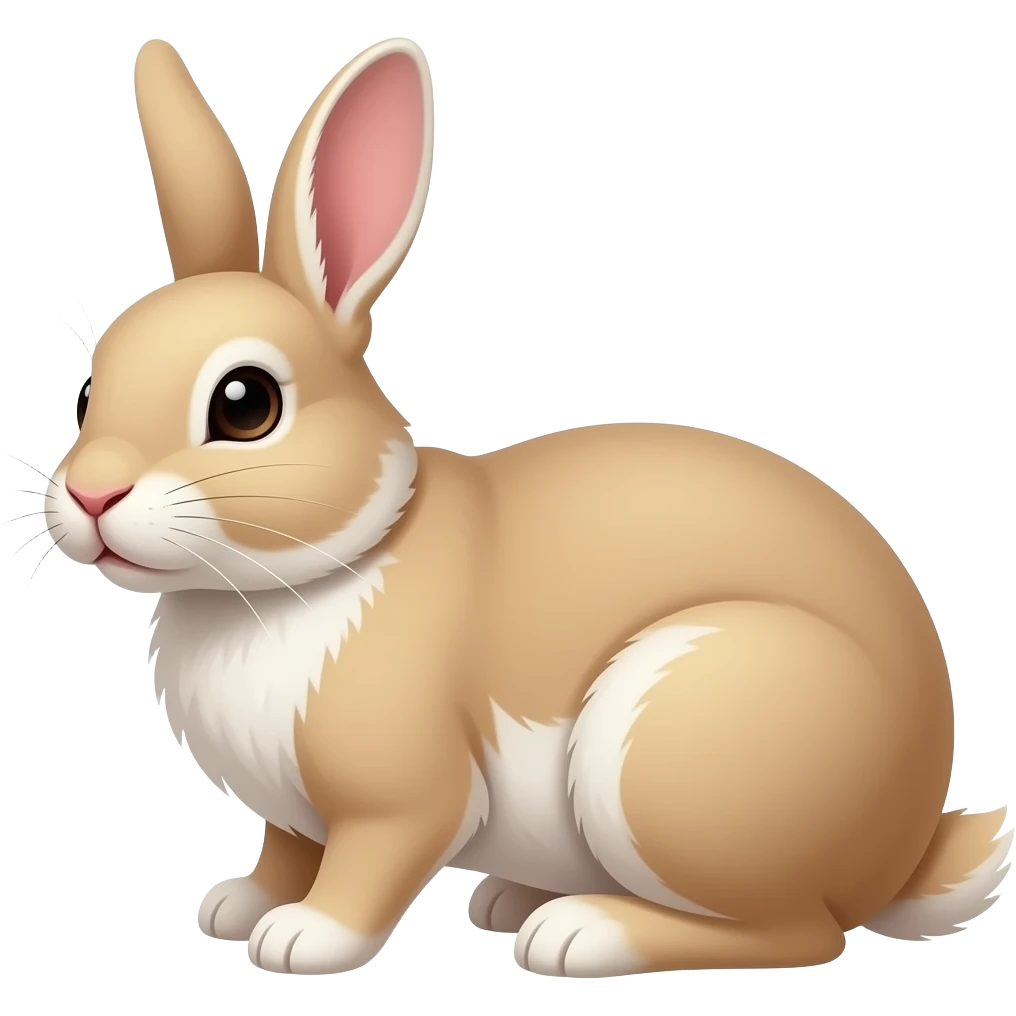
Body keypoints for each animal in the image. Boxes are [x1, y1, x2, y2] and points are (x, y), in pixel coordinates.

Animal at [41, 36, 1011, 978]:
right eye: (89, 391)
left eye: (246, 404)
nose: (92, 492)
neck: (311, 572)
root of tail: (904, 846)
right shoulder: (290, 814)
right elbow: (284, 851)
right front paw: (237, 907)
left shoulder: (403, 797)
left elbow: (368, 865)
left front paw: (302, 938)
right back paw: (513, 901)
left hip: (675, 748)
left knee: (797, 933)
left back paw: (581, 933)